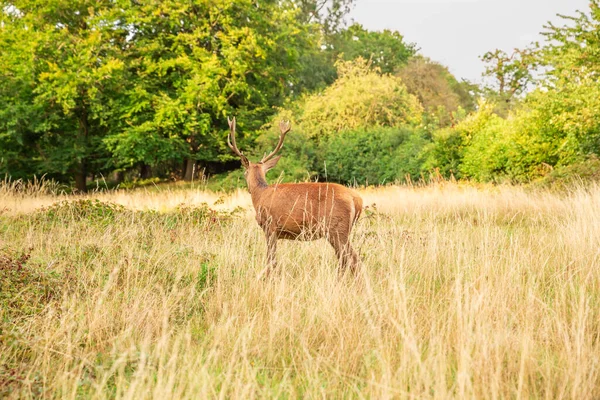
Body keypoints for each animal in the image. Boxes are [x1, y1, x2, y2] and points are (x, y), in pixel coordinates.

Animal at [229, 117, 360, 276]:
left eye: (244, 173)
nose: (247, 187)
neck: (259, 195)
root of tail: (357, 200)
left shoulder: (270, 226)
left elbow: (271, 259)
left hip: (337, 228)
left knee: (352, 259)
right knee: (345, 259)